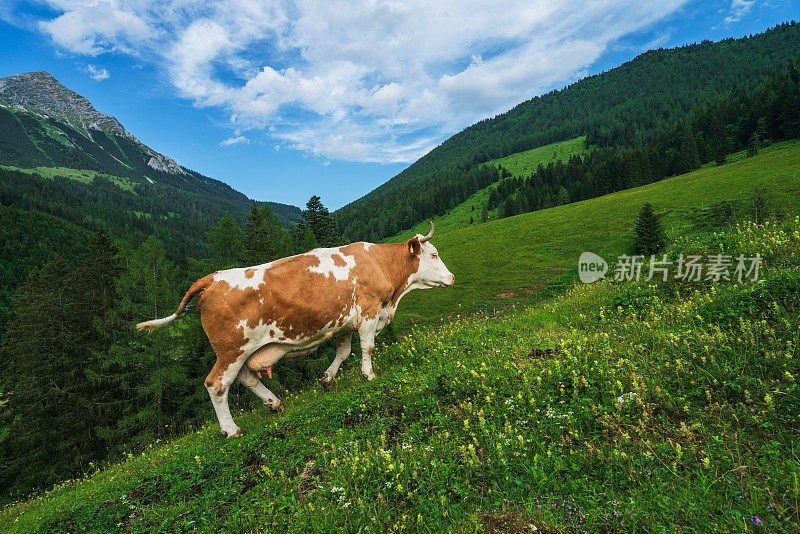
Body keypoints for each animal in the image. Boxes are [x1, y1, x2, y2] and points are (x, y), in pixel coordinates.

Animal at [134, 222, 454, 440]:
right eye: (434, 254)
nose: (451, 277)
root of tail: (213, 278)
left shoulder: (344, 321)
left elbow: (344, 351)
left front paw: (327, 379)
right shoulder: (368, 312)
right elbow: (367, 347)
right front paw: (369, 375)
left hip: (242, 351)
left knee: (246, 377)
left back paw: (273, 402)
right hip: (231, 349)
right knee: (217, 384)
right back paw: (231, 429)